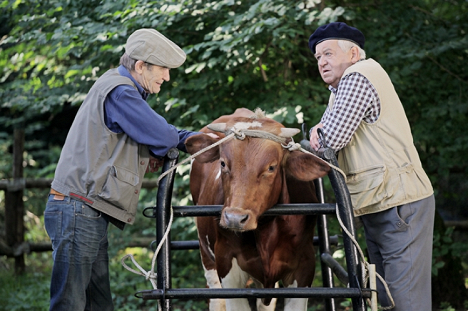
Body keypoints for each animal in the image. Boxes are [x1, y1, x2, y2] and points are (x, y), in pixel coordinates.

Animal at [185, 108, 330, 310]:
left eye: (271, 167)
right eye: (222, 163)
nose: (234, 218)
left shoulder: (304, 265)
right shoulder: (227, 264)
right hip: (206, 254)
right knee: (215, 297)